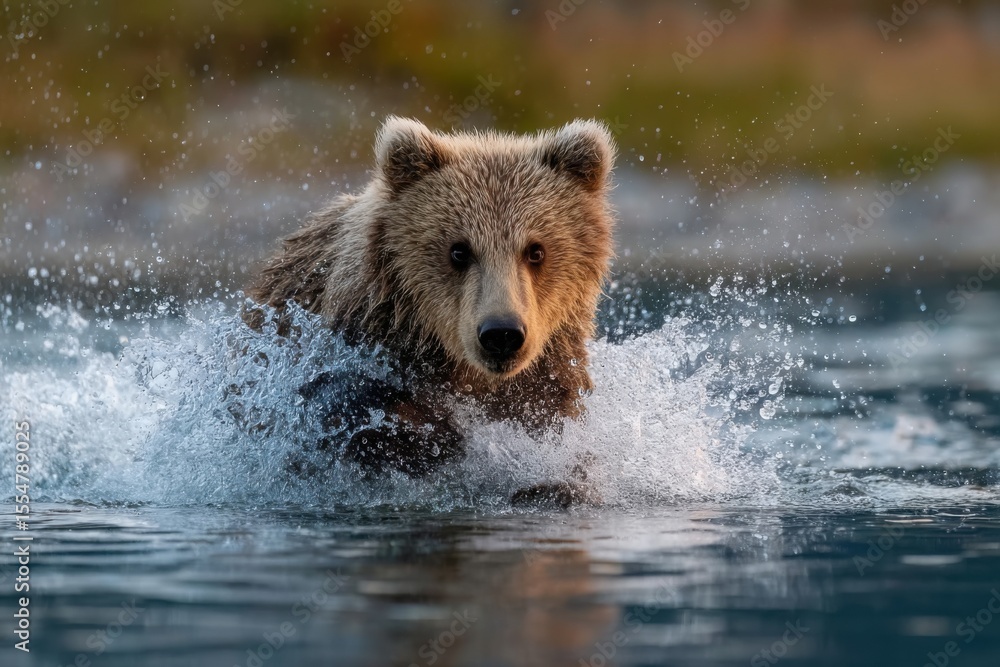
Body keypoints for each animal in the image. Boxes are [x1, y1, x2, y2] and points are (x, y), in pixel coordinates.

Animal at [246, 116, 616, 504]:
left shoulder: (549, 380)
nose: (501, 334)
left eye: (536, 250)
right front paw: (428, 434)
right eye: (459, 250)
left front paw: (552, 486)